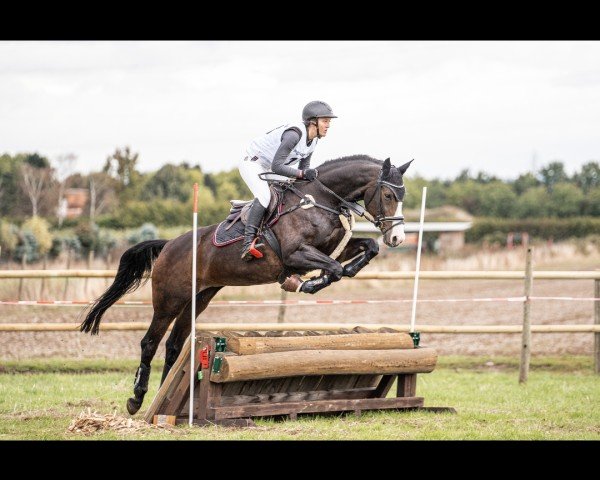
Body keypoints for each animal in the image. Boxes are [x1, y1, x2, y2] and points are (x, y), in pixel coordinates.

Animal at [78, 156, 412, 414]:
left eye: (403, 196)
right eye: (388, 196)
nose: (397, 238)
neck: (321, 200)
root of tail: (170, 244)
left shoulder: (331, 248)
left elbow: (365, 249)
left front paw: (337, 273)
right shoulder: (296, 254)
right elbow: (334, 269)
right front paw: (307, 283)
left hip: (199, 298)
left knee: (174, 344)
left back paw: (164, 400)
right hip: (170, 299)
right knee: (150, 342)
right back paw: (137, 399)